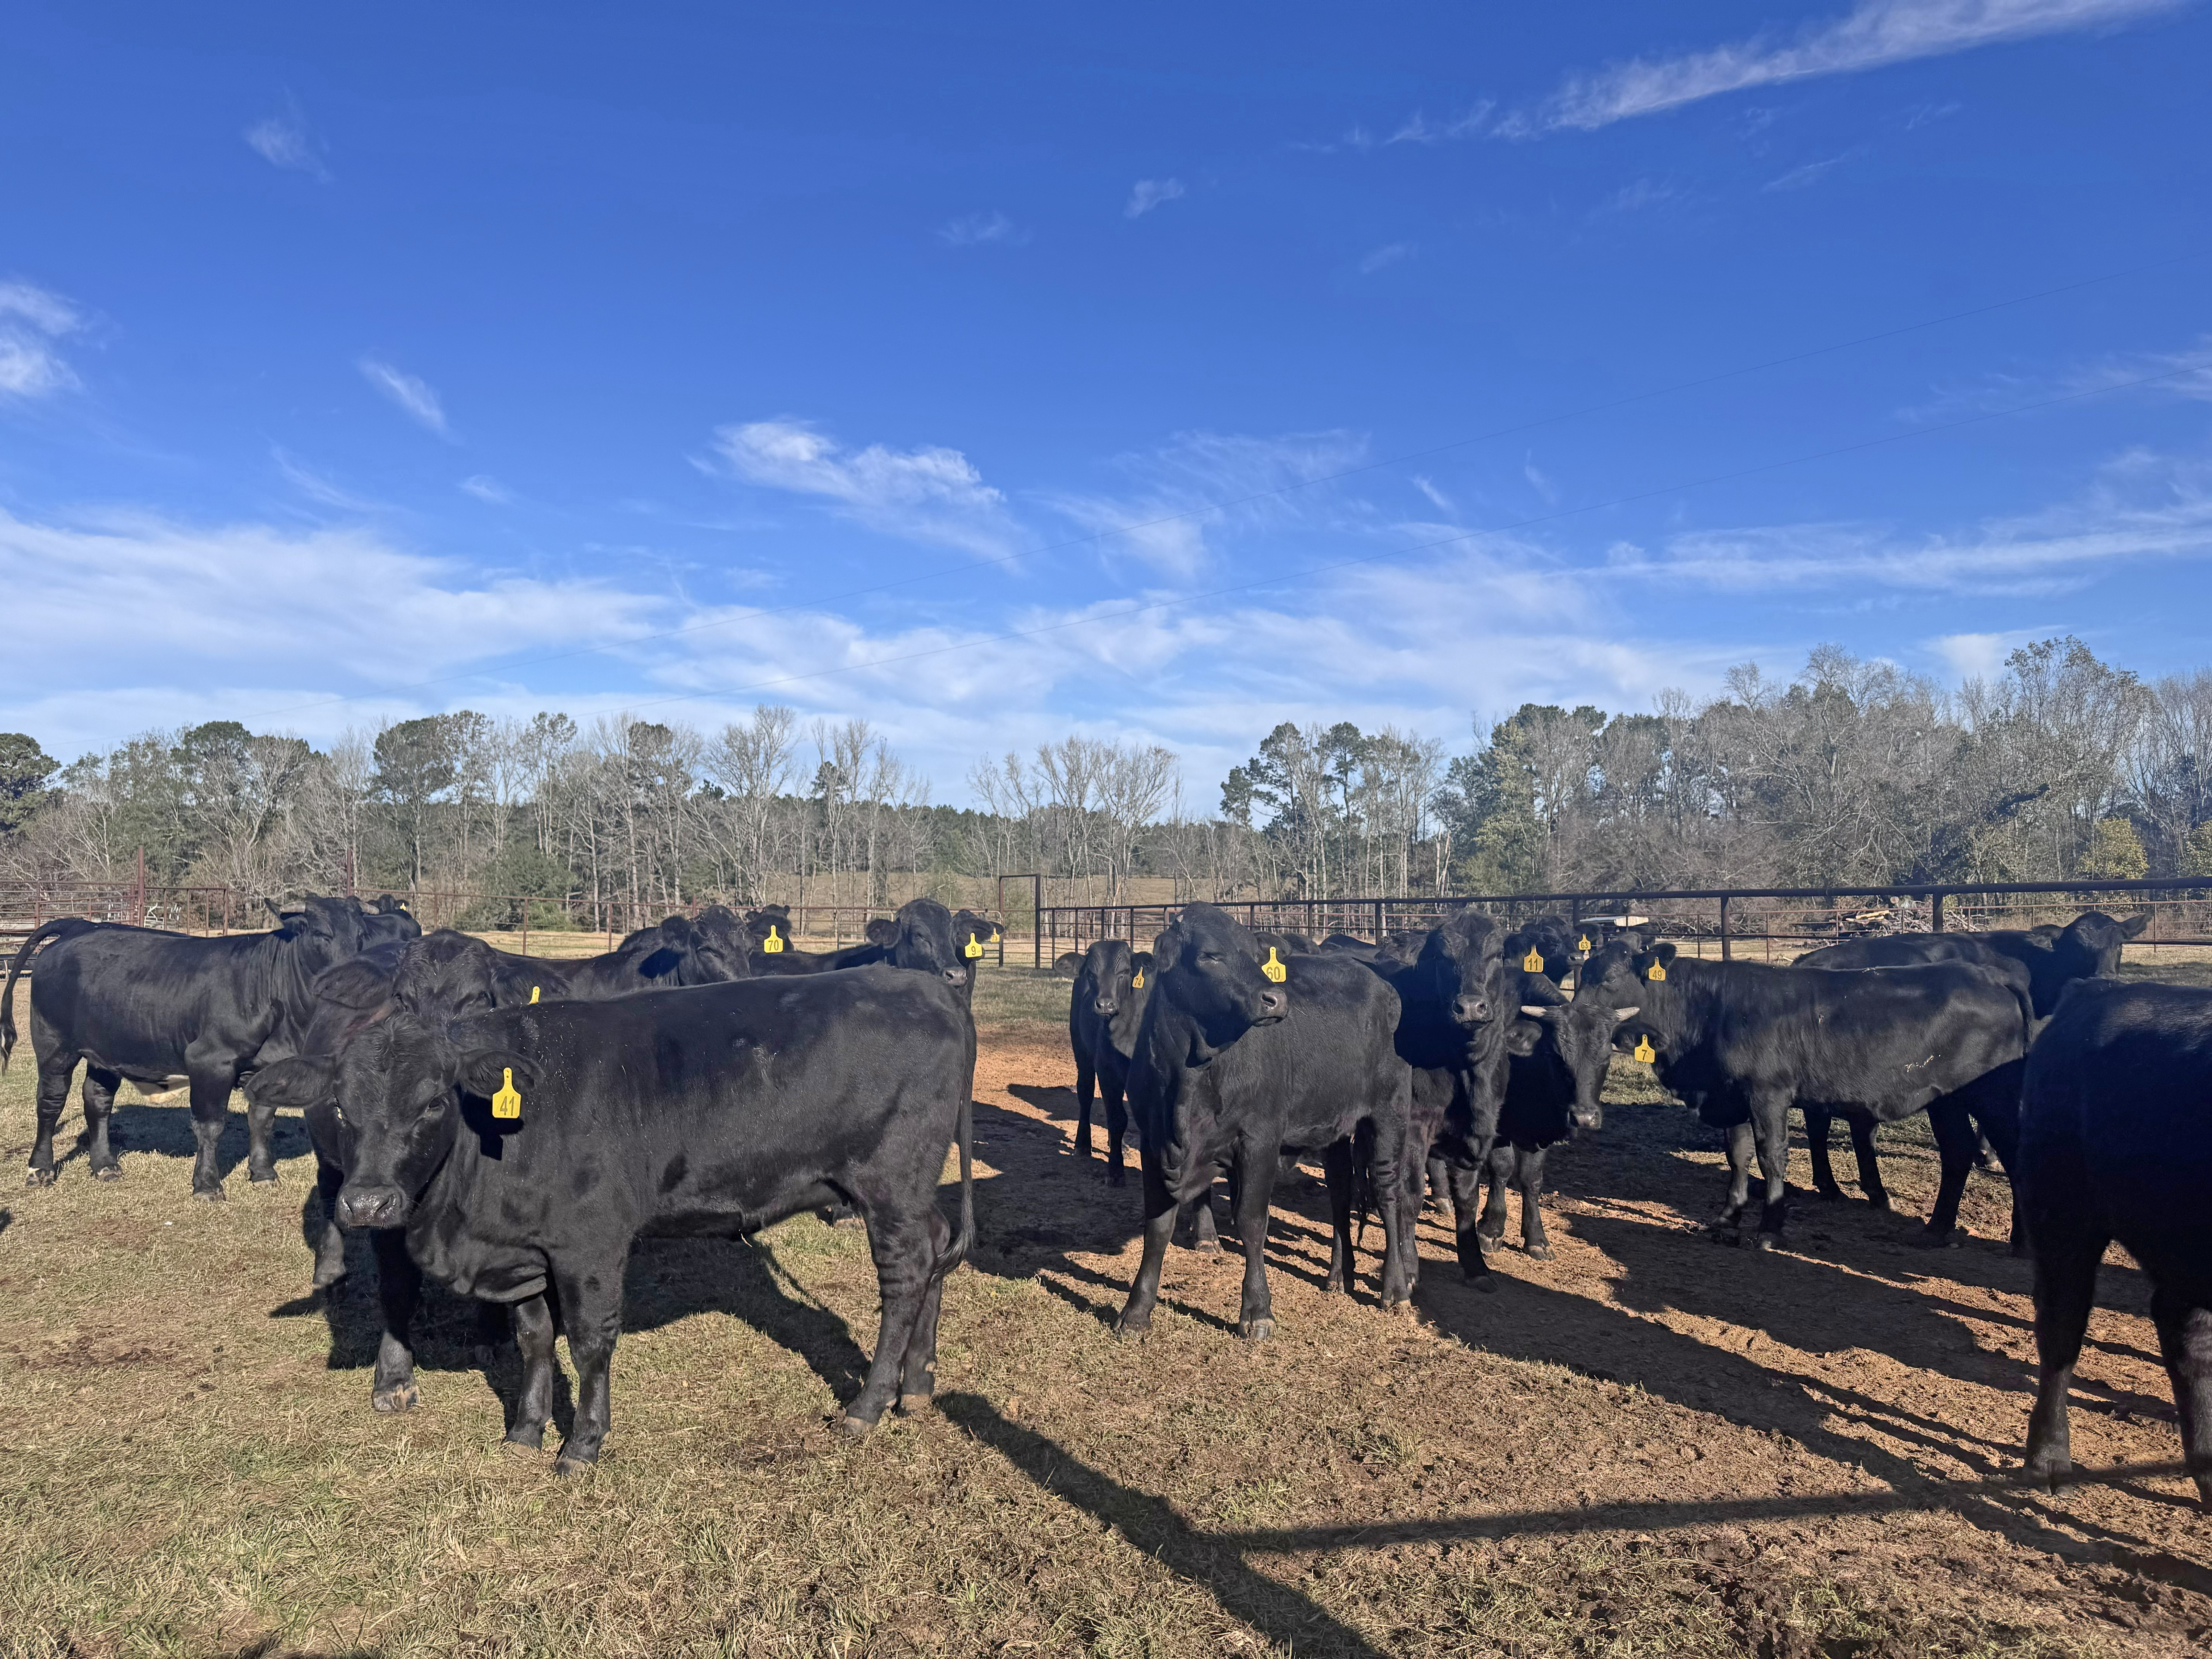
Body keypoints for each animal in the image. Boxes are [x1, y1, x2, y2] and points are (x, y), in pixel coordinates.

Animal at [2, 896, 368, 1196]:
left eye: (362, 935)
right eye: (321, 934)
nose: (354, 973)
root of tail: (81, 925)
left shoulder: (271, 1067)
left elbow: (262, 1120)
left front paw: (264, 1174)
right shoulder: (210, 1061)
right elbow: (210, 1125)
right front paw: (207, 1185)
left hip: (106, 1050)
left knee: (98, 1100)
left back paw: (104, 1165)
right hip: (54, 1045)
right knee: (50, 1103)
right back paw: (40, 1169)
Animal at [245, 965, 977, 1468]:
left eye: (432, 1102)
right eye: (341, 1105)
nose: (369, 1203)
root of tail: (927, 984)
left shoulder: (589, 1244)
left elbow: (589, 1341)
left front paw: (583, 1443)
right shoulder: (526, 1249)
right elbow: (534, 1338)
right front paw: (525, 1431)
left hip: (889, 1183)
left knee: (906, 1274)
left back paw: (868, 1404)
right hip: (910, 1191)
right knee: (936, 1251)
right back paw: (917, 1385)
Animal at [1115, 904, 1413, 1340]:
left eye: (1257, 957)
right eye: (1209, 955)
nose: (1275, 999)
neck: (1188, 1079)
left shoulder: (1260, 1141)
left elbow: (1252, 1221)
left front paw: (1257, 1311)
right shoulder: (1156, 1145)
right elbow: (1158, 1226)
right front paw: (1137, 1312)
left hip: (1389, 1114)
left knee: (1389, 1193)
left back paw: (1396, 1289)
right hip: (1335, 1127)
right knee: (1340, 1193)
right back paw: (1340, 1274)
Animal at [1580, 941, 2031, 1247]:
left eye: (1610, 978)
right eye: (1582, 975)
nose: (1578, 1014)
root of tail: (1991, 976)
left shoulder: (1768, 1094)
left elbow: (1771, 1158)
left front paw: (1770, 1229)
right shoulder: (1731, 1096)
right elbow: (1737, 1156)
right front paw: (1728, 1218)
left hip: (1994, 1098)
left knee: (2011, 1153)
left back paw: (2019, 1242)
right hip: (1946, 1100)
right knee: (1957, 1152)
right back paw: (1936, 1230)